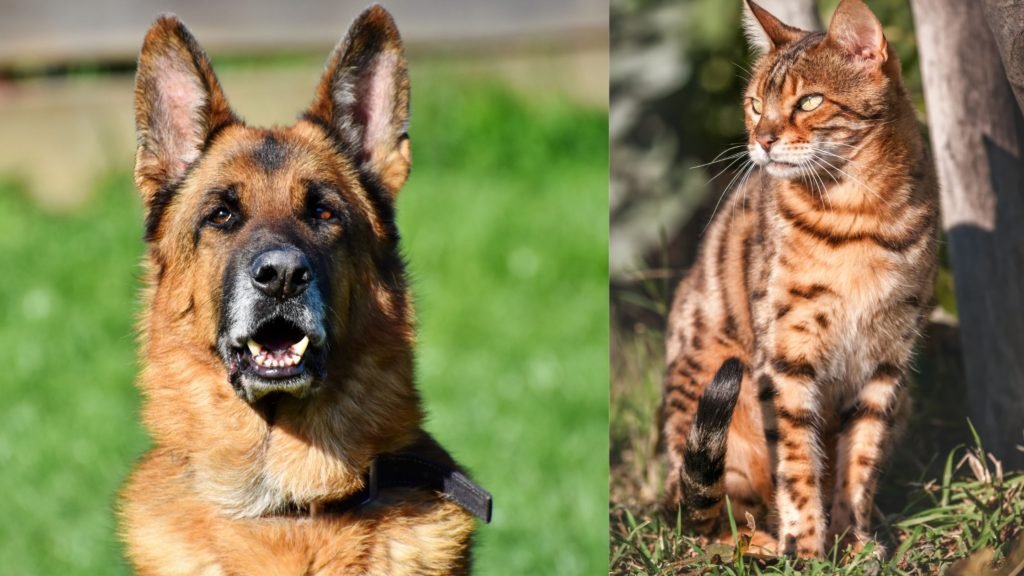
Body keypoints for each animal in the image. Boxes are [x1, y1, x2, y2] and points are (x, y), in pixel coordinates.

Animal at [659, 0, 937, 557]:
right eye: (753, 104)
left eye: (809, 101)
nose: (761, 140)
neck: (860, 217)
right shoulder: (787, 354)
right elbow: (796, 460)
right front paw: (806, 548)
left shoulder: (886, 361)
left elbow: (860, 461)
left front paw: (853, 541)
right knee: (711, 519)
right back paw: (761, 541)